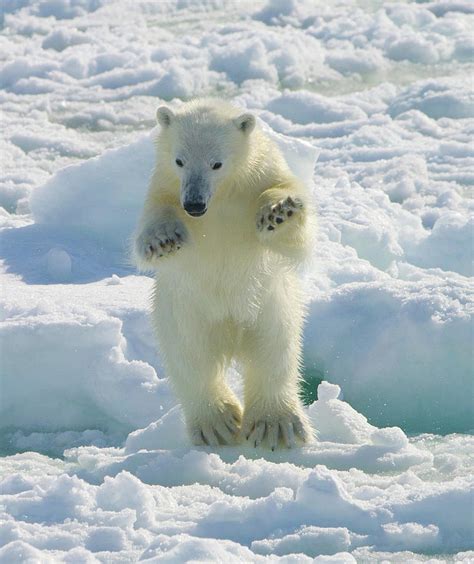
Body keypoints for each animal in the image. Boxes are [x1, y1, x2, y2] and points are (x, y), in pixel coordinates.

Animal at [133, 98, 314, 450]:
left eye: (216, 163)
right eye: (179, 160)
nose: (193, 204)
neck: (222, 198)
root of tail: (231, 337)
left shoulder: (262, 175)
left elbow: (296, 240)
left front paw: (278, 212)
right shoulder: (162, 188)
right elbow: (151, 227)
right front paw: (164, 240)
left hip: (270, 309)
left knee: (275, 354)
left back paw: (275, 423)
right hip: (183, 316)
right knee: (191, 361)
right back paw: (217, 423)